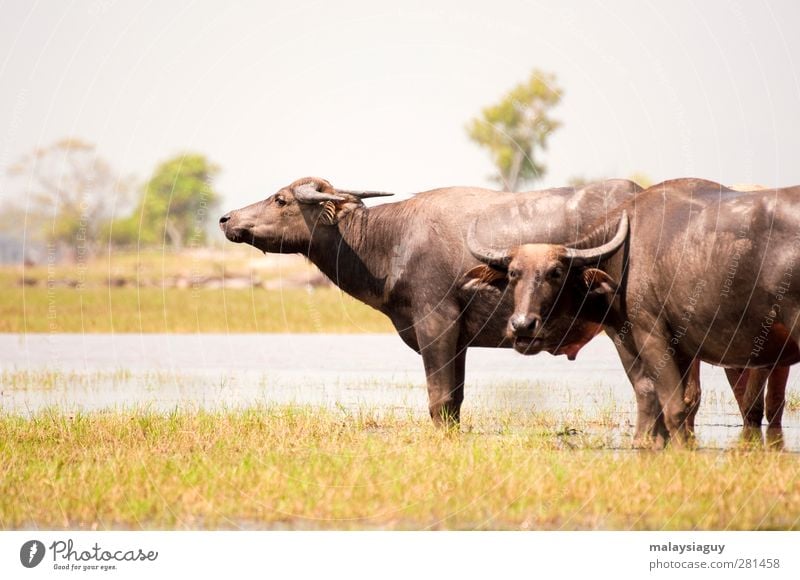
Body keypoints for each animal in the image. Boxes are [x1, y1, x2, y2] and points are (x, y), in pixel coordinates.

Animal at [220, 174, 644, 424]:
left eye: (280, 199)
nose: (226, 219)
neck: (391, 240)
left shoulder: (436, 326)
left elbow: (439, 400)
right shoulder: (459, 341)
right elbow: (454, 401)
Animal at [468, 179, 800, 446]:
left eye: (555, 272)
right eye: (513, 273)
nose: (523, 325)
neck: (622, 259)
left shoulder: (651, 335)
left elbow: (673, 406)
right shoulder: (676, 348)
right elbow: (664, 400)